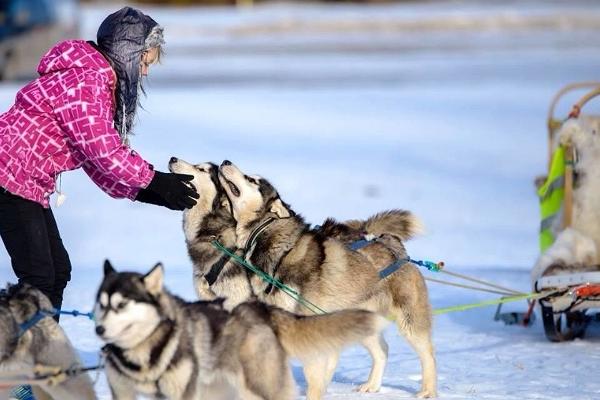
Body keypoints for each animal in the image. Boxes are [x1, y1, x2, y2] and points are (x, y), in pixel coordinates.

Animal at [216, 161, 436, 398]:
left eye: (252, 179)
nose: (226, 162)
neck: (279, 248)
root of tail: (395, 247)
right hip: (360, 320)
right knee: (382, 350)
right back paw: (372, 386)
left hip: (409, 322)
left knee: (428, 354)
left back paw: (428, 390)